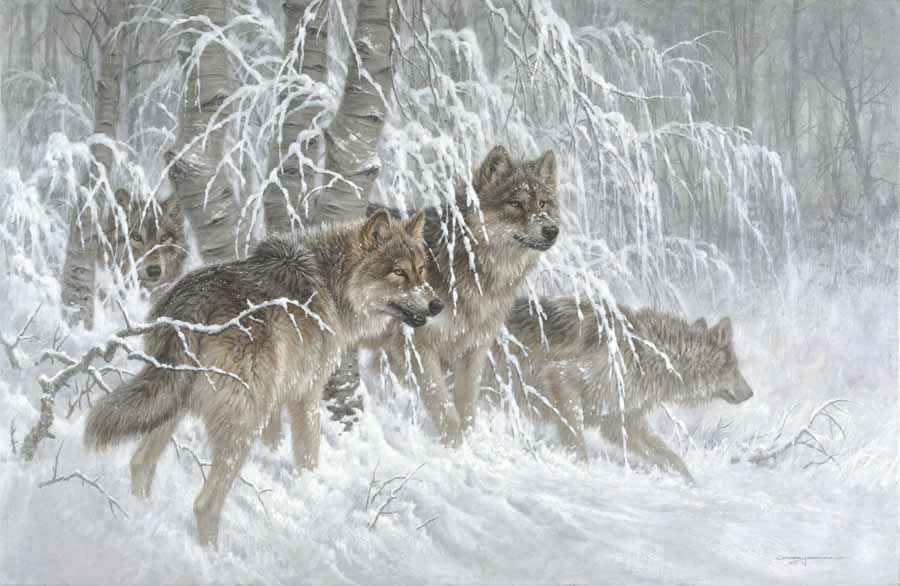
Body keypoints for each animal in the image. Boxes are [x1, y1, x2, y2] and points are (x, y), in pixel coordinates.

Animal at [84, 209, 441, 545]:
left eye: (422, 269)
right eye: (399, 272)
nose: (437, 304)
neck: (330, 283)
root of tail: (192, 305)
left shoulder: (277, 398)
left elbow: (275, 440)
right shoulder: (306, 395)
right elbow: (308, 454)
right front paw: (310, 489)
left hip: (173, 405)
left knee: (141, 463)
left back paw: (138, 517)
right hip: (241, 422)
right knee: (204, 504)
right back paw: (211, 554)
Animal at [363, 145, 560, 446]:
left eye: (543, 204)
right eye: (515, 203)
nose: (551, 230)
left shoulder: (473, 349)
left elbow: (467, 409)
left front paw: (466, 444)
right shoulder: (415, 347)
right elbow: (444, 408)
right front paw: (453, 449)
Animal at [491, 297, 754, 482]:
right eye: (734, 367)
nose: (751, 393)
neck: (647, 355)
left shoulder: (621, 420)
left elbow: (672, 458)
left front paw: (691, 484)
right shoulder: (562, 377)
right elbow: (578, 444)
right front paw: (581, 473)